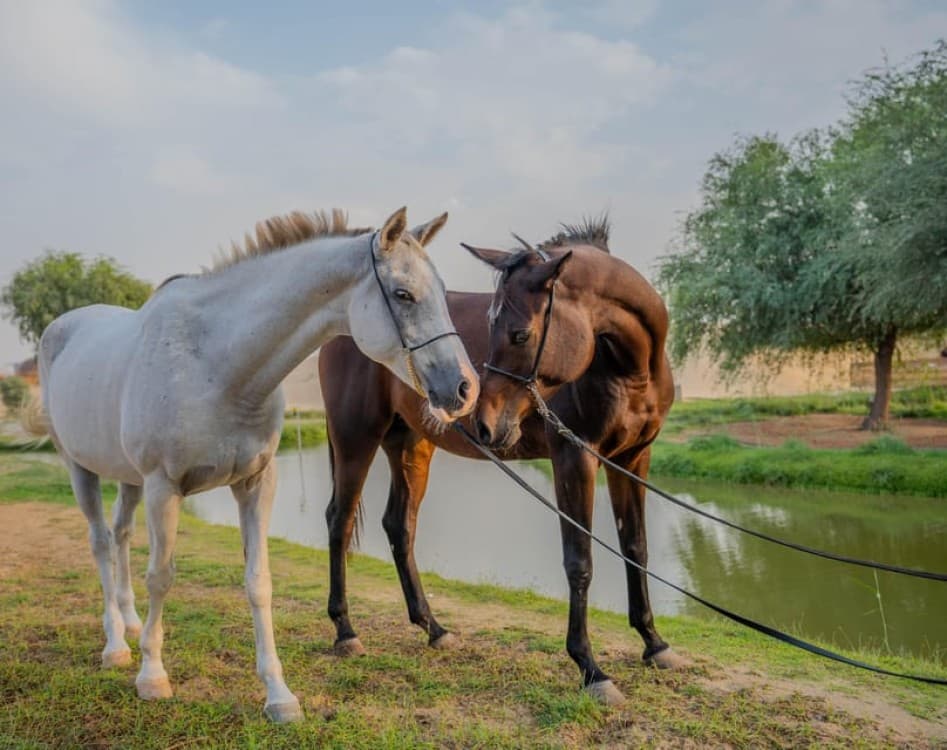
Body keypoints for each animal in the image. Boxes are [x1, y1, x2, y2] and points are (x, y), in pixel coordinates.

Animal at [23, 207, 479, 722]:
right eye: (403, 294)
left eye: (441, 292)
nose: (465, 389)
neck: (217, 365)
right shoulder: (164, 488)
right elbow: (162, 576)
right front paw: (152, 676)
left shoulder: (257, 483)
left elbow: (258, 583)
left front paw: (279, 695)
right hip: (81, 468)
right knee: (101, 543)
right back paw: (117, 645)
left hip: (127, 479)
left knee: (120, 536)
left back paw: (132, 623)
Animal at [319, 217, 684, 706]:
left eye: (520, 334)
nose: (485, 423)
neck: (627, 368)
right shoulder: (574, 458)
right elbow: (580, 561)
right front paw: (591, 668)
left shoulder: (632, 458)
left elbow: (635, 548)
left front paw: (654, 643)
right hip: (355, 438)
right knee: (339, 521)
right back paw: (346, 631)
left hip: (410, 445)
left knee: (399, 525)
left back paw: (434, 628)